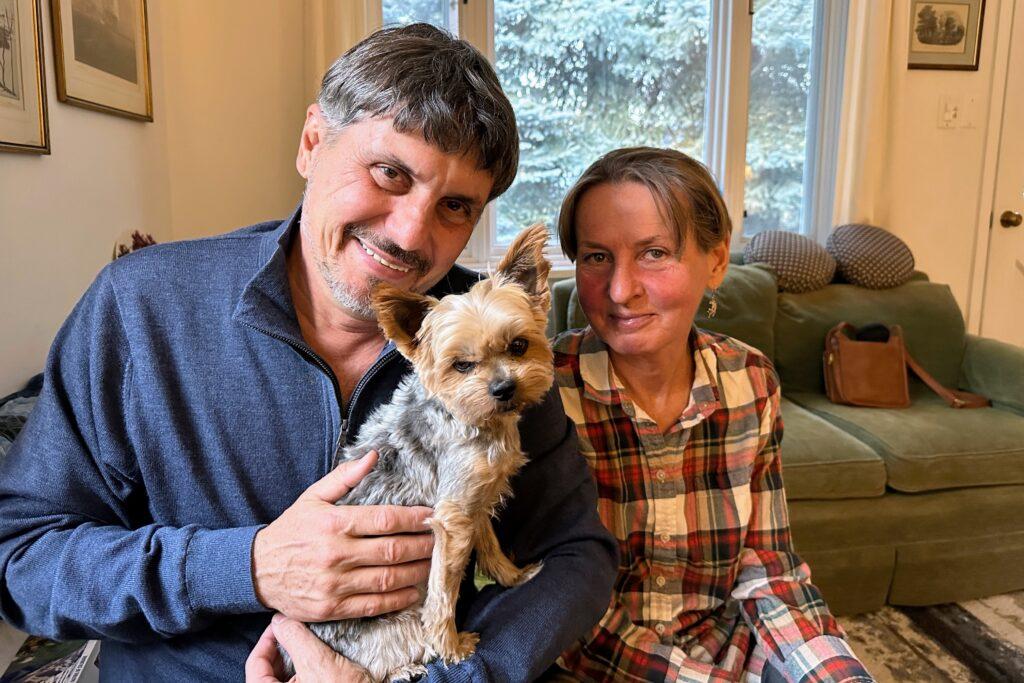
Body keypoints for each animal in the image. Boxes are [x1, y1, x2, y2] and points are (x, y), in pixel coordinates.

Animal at [288, 225, 557, 683]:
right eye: (462, 365)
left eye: (519, 345)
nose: (504, 389)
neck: (473, 420)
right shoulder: (451, 518)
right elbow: (443, 592)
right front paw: (452, 648)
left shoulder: (473, 502)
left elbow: (490, 545)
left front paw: (513, 576)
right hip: (398, 628)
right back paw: (407, 667)